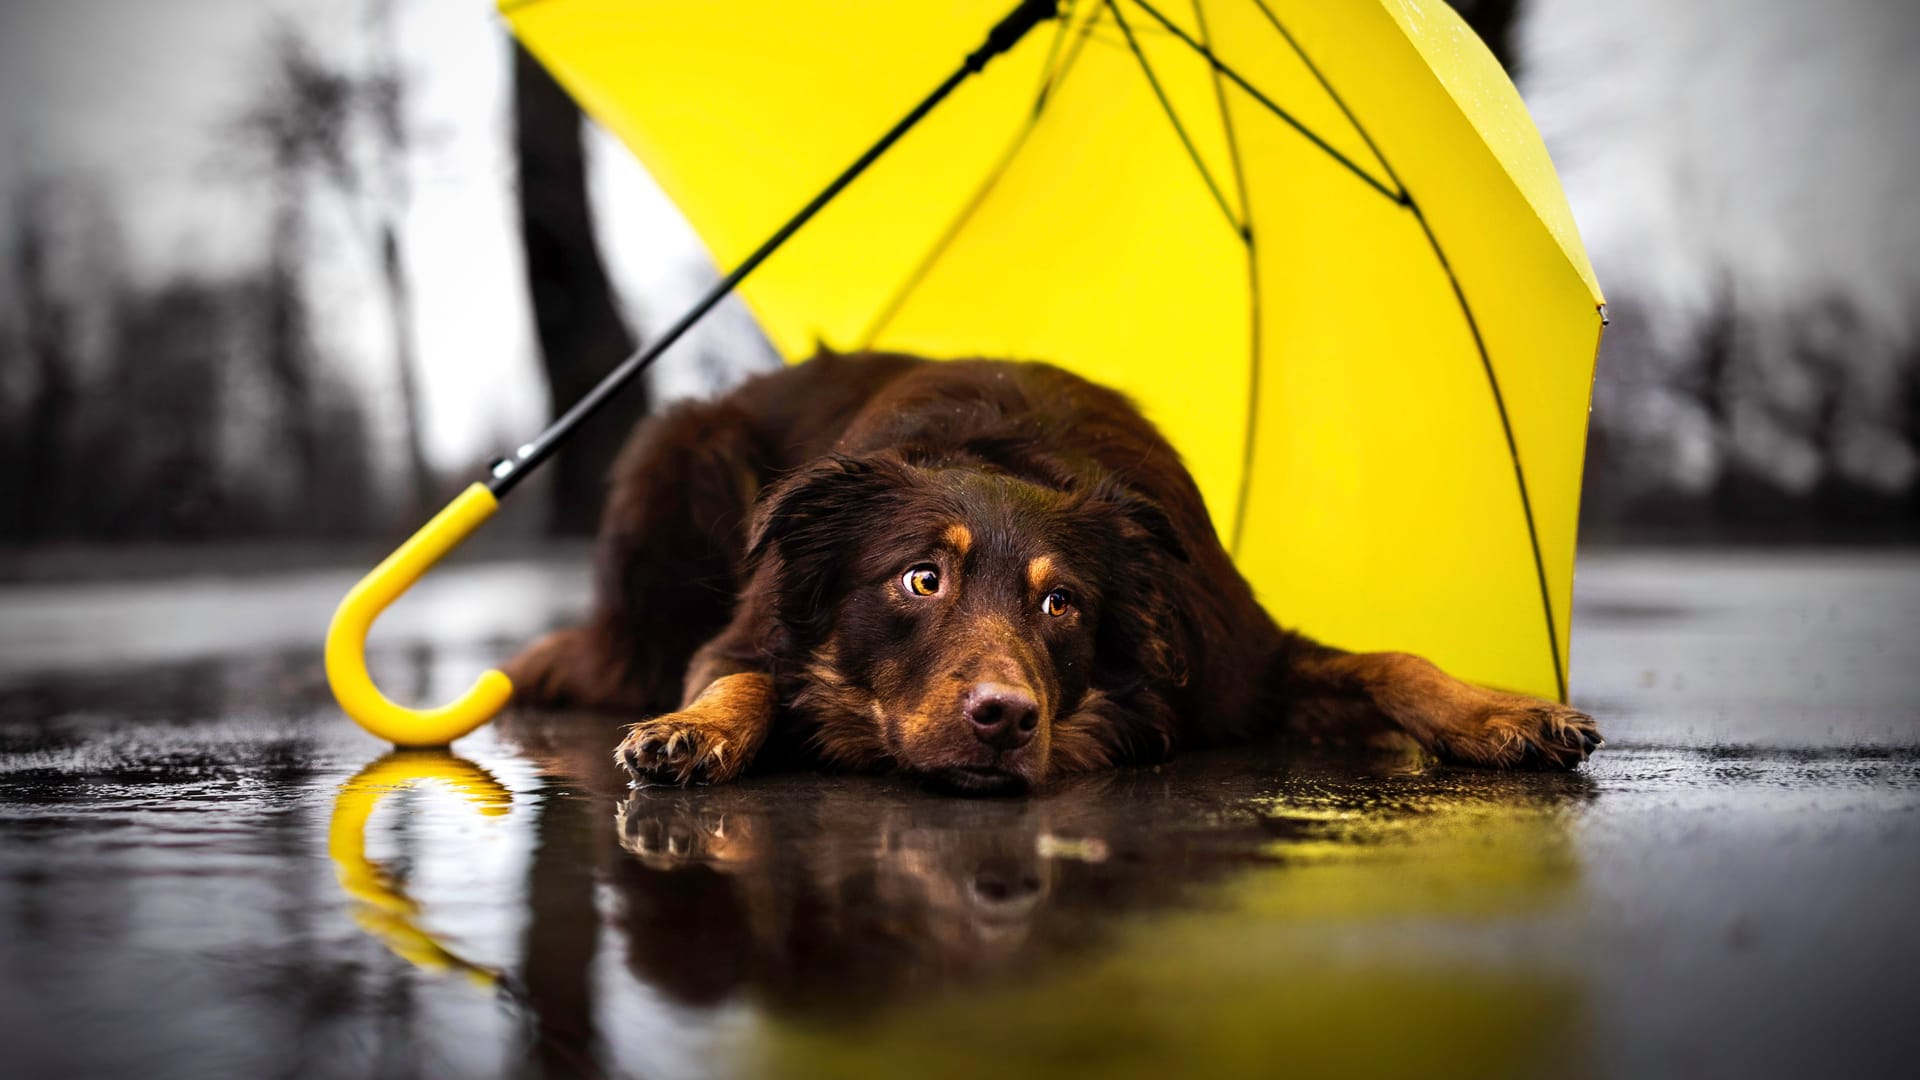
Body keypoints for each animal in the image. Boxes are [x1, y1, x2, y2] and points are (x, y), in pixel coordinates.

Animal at [503, 351, 1597, 791]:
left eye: (1061, 602)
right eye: (920, 581)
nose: (1004, 721)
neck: (1005, 454)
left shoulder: (1239, 658)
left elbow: (1389, 661)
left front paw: (1502, 713)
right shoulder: (751, 623)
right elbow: (744, 675)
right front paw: (698, 732)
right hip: (679, 453)